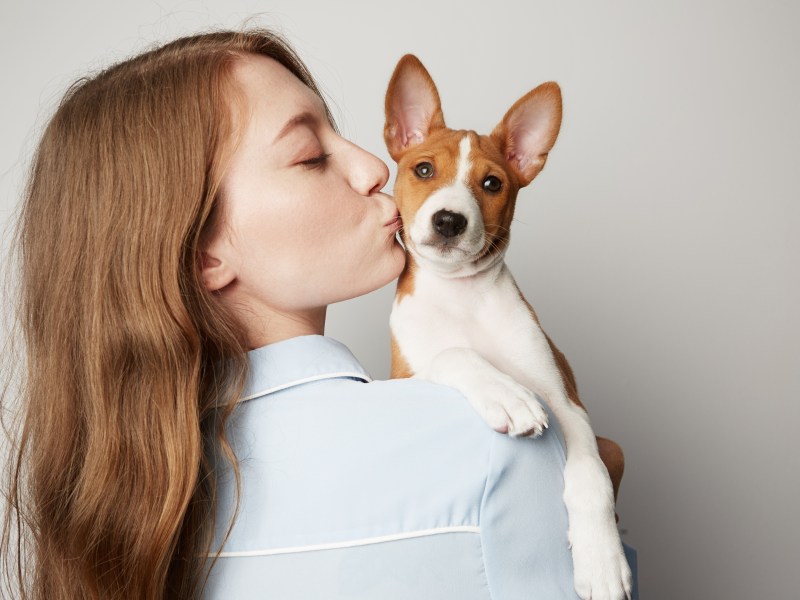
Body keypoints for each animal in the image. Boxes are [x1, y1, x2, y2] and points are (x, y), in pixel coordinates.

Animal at [384, 54, 636, 596]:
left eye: (492, 184)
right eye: (423, 169)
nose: (450, 220)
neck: (461, 297)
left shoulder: (568, 406)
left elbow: (589, 479)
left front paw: (601, 561)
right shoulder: (402, 378)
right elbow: (453, 353)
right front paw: (505, 394)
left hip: (614, 447)